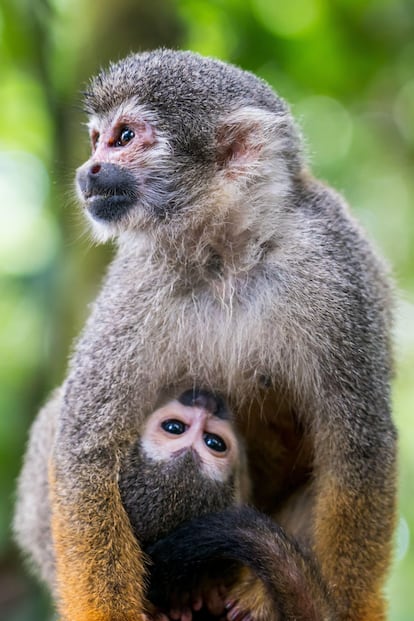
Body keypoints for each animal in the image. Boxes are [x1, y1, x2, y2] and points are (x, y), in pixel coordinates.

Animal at [12, 49, 396, 621]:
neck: (226, 256)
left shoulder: (334, 265)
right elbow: (84, 447)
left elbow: (359, 449)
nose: (89, 169)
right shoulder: (139, 278)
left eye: (124, 137)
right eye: (96, 138)